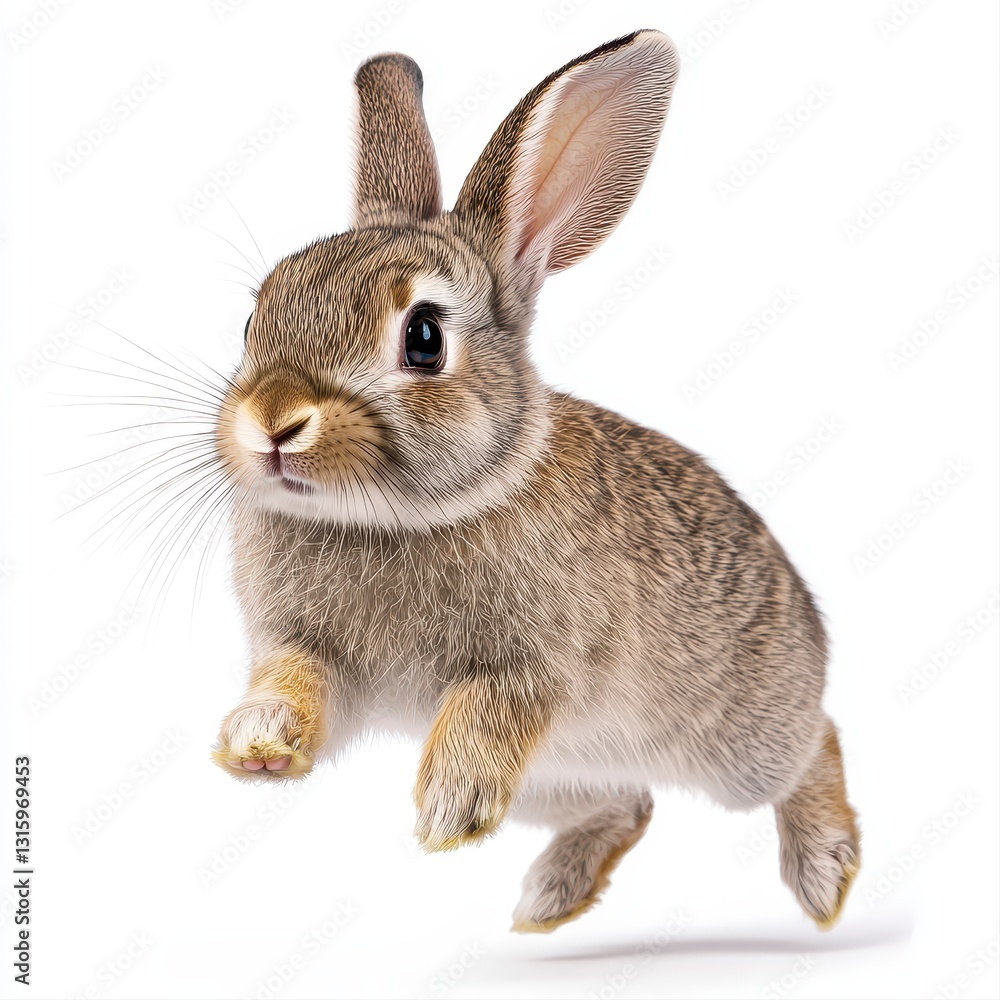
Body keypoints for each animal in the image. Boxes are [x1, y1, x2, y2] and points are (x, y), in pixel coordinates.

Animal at [210, 29, 860, 933]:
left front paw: (448, 807)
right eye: (253, 317)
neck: (395, 517)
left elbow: (491, 708)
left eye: (422, 338)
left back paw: (825, 876)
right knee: (630, 804)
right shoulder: (307, 649)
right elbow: (299, 683)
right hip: (562, 780)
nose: (272, 420)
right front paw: (259, 741)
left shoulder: (539, 668)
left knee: (814, 744)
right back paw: (551, 900)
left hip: (739, 744)